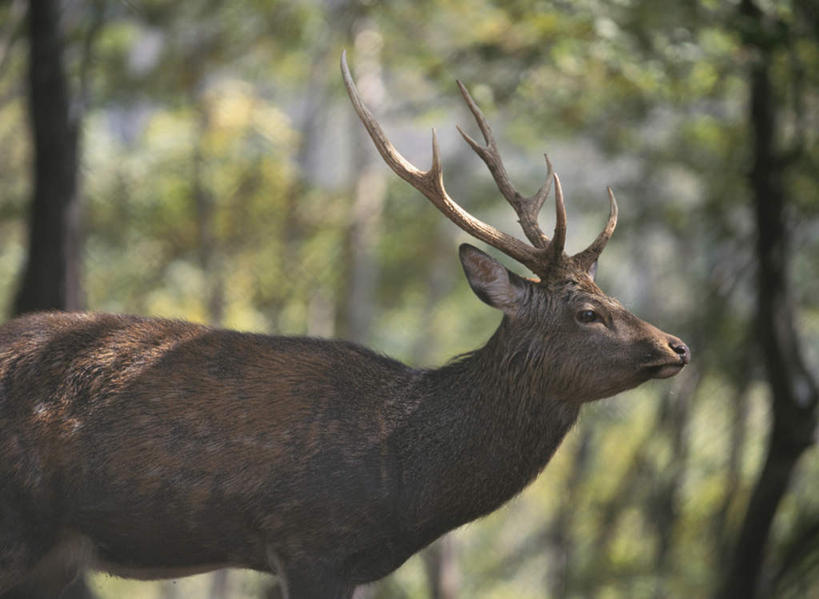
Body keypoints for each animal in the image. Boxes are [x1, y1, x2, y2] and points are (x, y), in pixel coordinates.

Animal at [0, 51, 688, 599]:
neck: (407, 484)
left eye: (609, 294)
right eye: (588, 312)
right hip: (19, 526)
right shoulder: (311, 544)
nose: (677, 346)